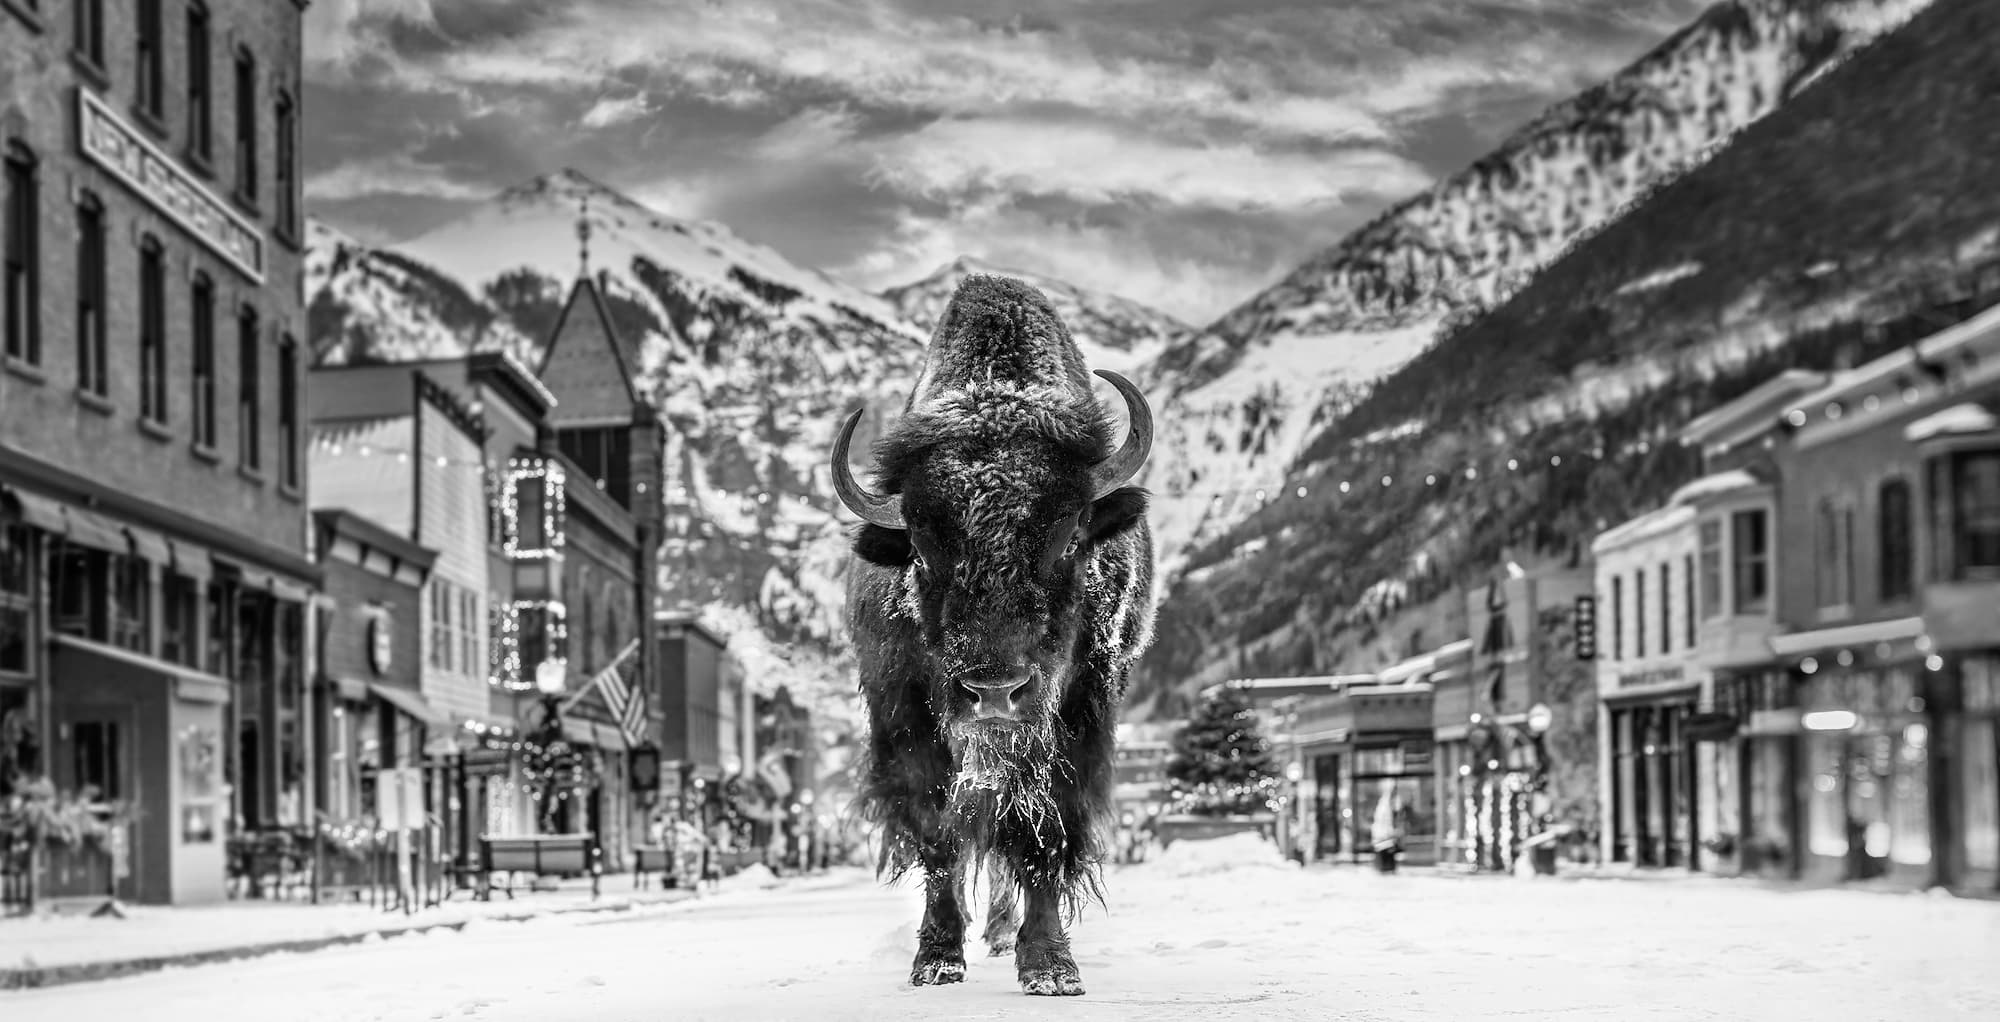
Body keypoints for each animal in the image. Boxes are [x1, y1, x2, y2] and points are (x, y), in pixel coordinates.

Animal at [834, 275, 1157, 996]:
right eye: (922, 549)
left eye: (1070, 534)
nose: (993, 693)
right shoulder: (906, 719)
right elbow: (939, 836)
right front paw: (936, 959)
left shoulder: (1076, 720)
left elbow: (1042, 835)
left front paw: (1050, 967)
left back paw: (1009, 934)